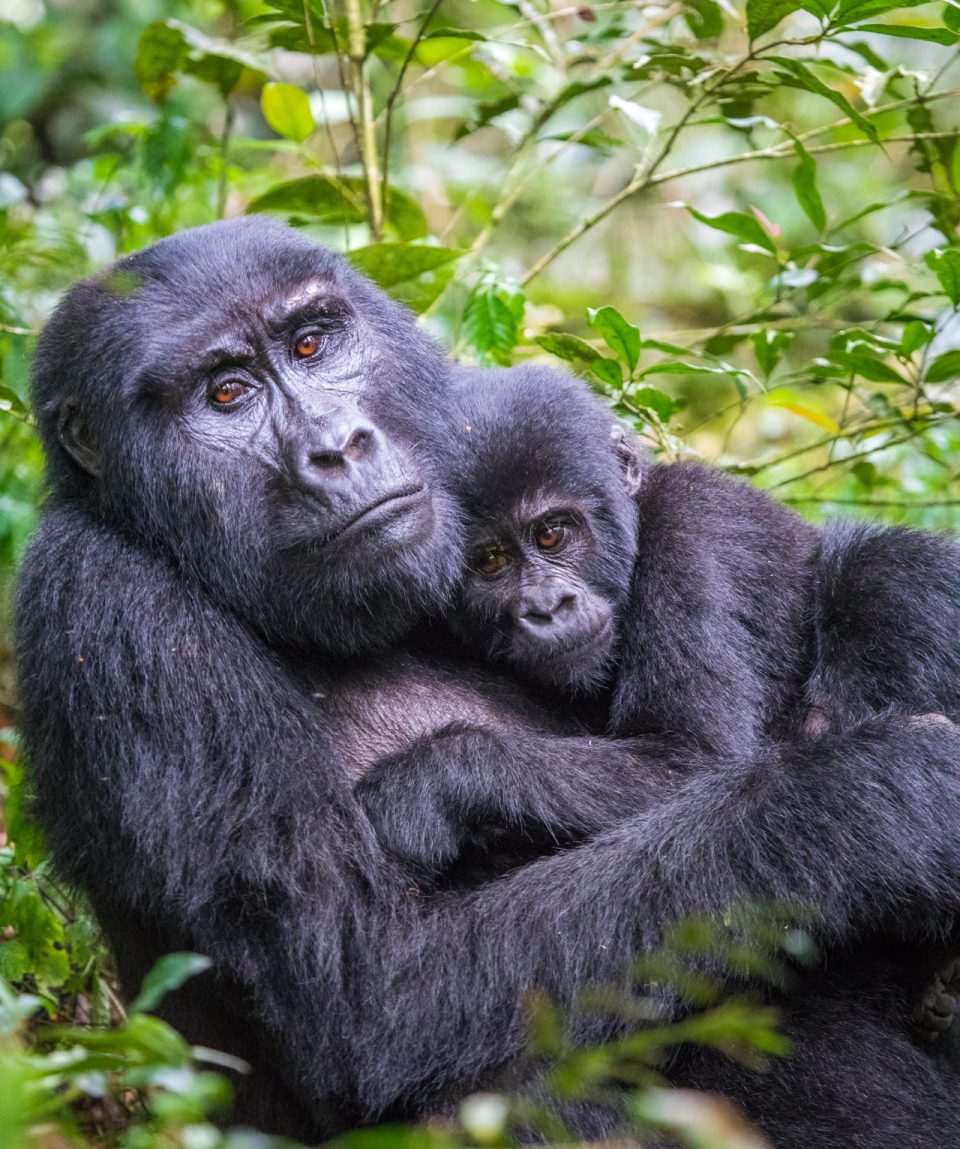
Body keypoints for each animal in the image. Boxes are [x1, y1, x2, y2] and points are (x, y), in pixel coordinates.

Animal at [15, 219, 960, 1144]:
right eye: (227, 394)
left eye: (312, 343)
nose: (336, 447)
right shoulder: (110, 606)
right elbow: (375, 1006)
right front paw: (884, 797)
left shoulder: (695, 541)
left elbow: (691, 752)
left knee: (889, 571)